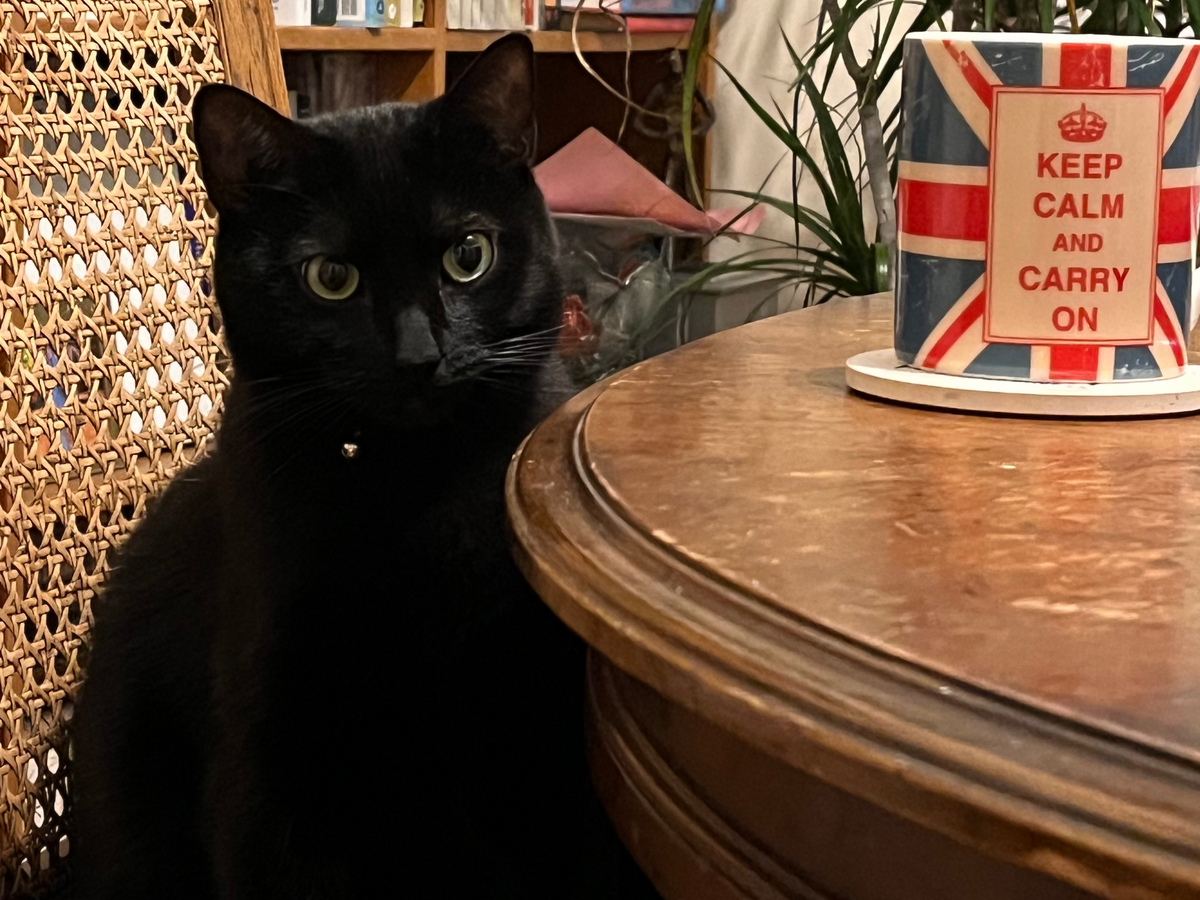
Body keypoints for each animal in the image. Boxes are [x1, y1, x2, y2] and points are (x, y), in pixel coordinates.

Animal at [70, 34, 659, 900]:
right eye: (330, 277)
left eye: (468, 255)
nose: (419, 354)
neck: (414, 488)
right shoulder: (270, 747)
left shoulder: (531, 728)